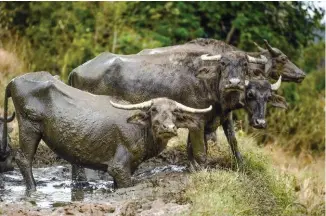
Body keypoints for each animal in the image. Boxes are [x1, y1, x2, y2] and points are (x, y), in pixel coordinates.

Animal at [0, 71, 211, 190]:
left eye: (175, 112)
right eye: (153, 110)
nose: (169, 128)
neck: (141, 131)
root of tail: (13, 81)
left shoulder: (128, 168)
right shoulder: (119, 167)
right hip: (29, 126)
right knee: (23, 159)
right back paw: (33, 189)